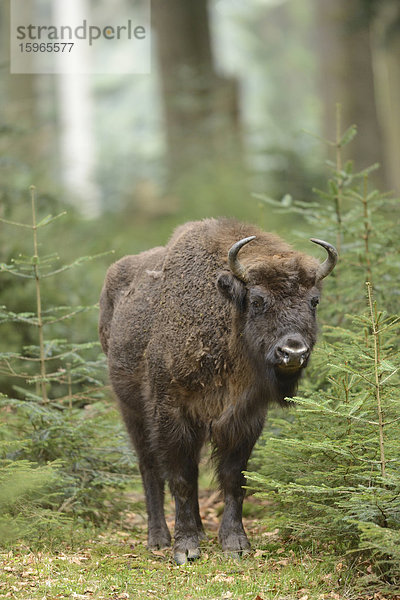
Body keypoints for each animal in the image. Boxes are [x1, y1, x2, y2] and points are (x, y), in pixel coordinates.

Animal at [98, 218, 336, 564]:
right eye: (257, 300)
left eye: (313, 301)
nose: (292, 351)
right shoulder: (171, 412)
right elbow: (181, 478)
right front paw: (185, 548)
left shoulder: (245, 417)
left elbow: (233, 477)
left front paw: (235, 543)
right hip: (132, 410)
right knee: (150, 469)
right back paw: (159, 538)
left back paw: (197, 530)